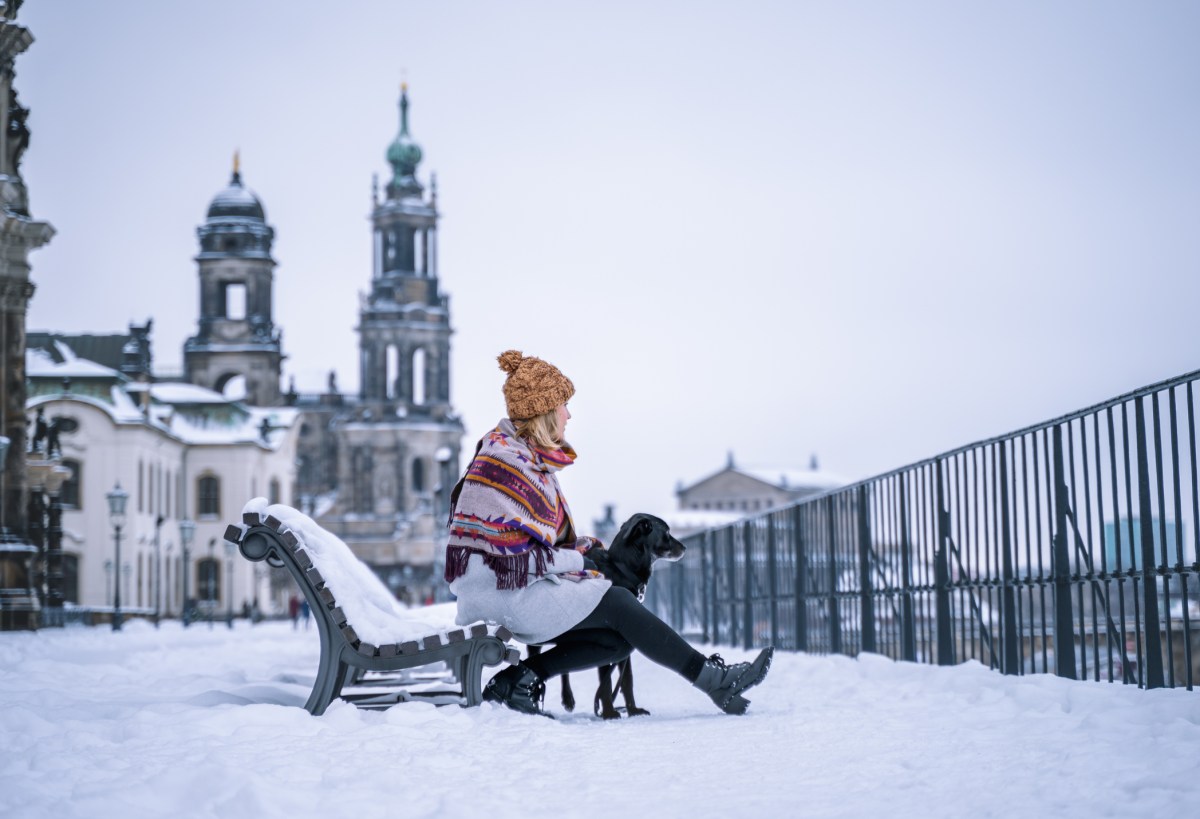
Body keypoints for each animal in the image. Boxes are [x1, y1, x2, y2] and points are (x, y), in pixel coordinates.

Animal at [544, 513, 686, 715]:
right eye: (666, 532)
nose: (684, 548)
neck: (621, 569)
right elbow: (606, 682)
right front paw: (609, 713)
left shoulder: (626, 644)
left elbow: (627, 680)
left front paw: (632, 710)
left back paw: (567, 698)